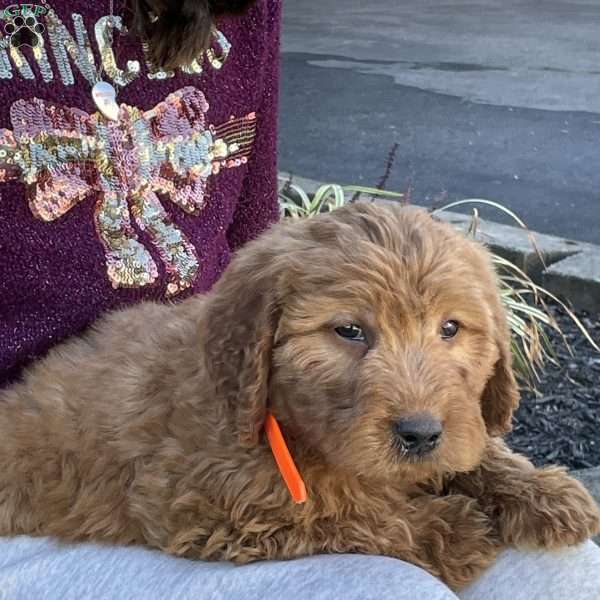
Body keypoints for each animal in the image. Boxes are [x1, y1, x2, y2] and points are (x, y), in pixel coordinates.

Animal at [1, 204, 600, 588]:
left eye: (451, 328)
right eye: (349, 331)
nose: (420, 434)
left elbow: (475, 451)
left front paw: (543, 493)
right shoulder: (203, 502)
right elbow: (338, 512)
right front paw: (451, 529)